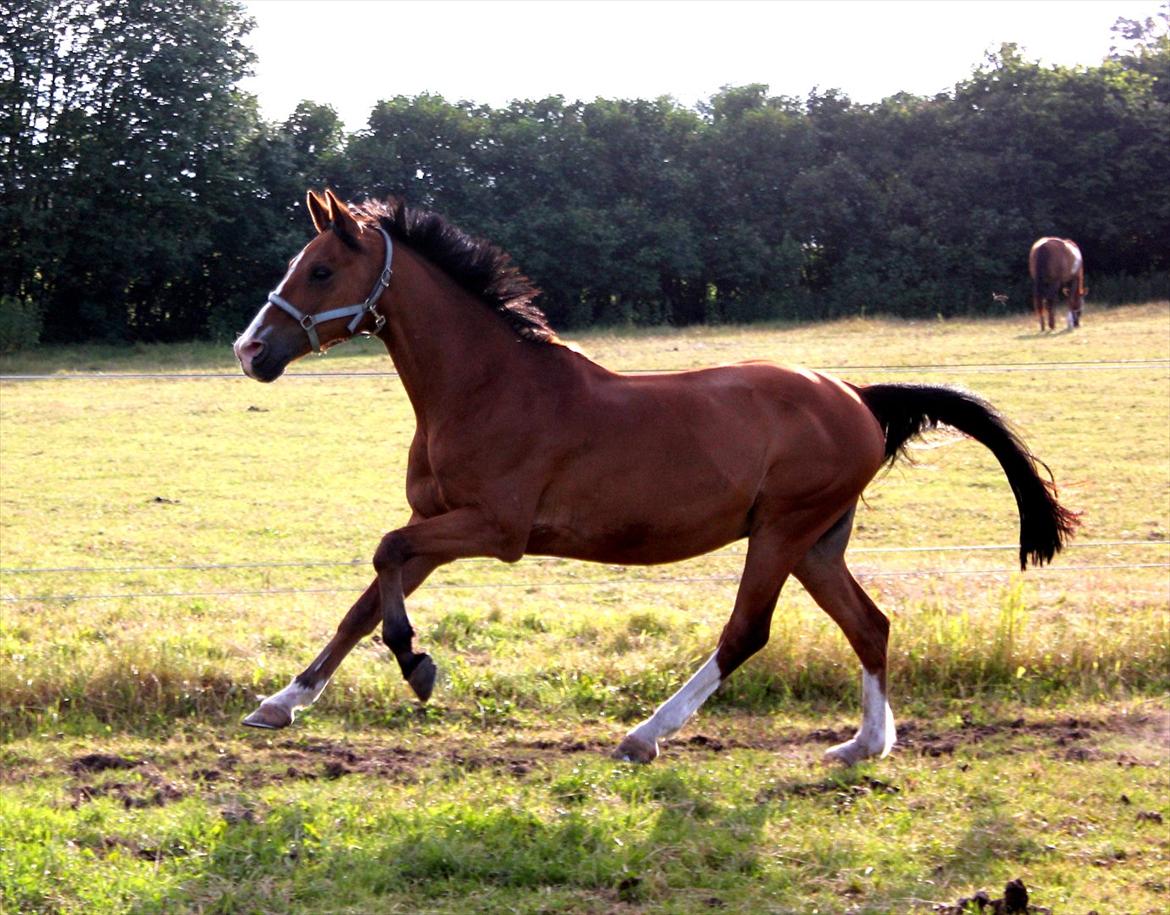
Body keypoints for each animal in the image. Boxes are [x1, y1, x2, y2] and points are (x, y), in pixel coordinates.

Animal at [232, 190, 1078, 766]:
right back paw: (862, 745)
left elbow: (383, 557)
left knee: (747, 631)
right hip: (817, 540)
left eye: (320, 268)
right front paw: (281, 702)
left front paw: (418, 665)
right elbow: (364, 599)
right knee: (869, 624)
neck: (485, 387)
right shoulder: (438, 529)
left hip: (782, 530)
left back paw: (645, 733)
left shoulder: (494, 528)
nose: (250, 350)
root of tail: (860, 396)